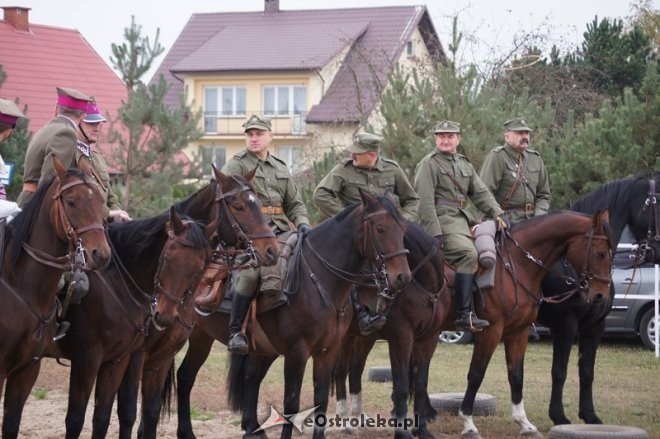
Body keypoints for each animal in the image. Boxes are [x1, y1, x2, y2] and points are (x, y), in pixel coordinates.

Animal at [175, 191, 412, 439]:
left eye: (403, 229)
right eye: (380, 228)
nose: (402, 277)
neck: (319, 278)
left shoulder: (328, 351)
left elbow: (320, 400)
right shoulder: (296, 352)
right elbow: (291, 402)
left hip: (221, 340)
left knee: (232, 376)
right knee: (186, 376)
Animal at [332, 220, 450, 438]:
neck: (424, 286)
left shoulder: (429, 339)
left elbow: (420, 385)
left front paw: (422, 429)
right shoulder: (401, 339)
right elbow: (401, 386)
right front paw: (402, 432)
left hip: (365, 338)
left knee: (355, 371)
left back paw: (360, 417)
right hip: (346, 338)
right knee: (340, 372)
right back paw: (345, 421)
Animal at [455, 210, 613, 439]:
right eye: (600, 254)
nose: (600, 295)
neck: (517, 263)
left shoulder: (520, 332)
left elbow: (517, 375)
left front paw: (525, 423)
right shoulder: (492, 331)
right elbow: (477, 374)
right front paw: (468, 423)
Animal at [538, 173, 660, 426]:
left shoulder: (595, 326)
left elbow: (587, 370)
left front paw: (589, 414)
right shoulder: (565, 326)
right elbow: (559, 370)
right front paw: (558, 415)